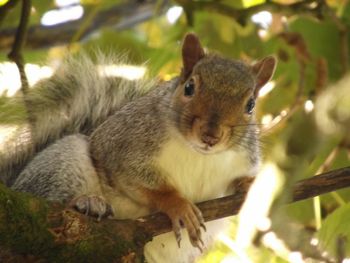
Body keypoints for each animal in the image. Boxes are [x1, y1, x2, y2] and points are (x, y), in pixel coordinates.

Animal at [4, 34, 276, 262]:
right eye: (189, 87)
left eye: (251, 105)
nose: (211, 136)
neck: (199, 154)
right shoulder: (121, 144)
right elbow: (140, 182)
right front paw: (176, 204)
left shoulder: (242, 161)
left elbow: (236, 186)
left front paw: (251, 186)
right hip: (60, 167)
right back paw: (87, 203)